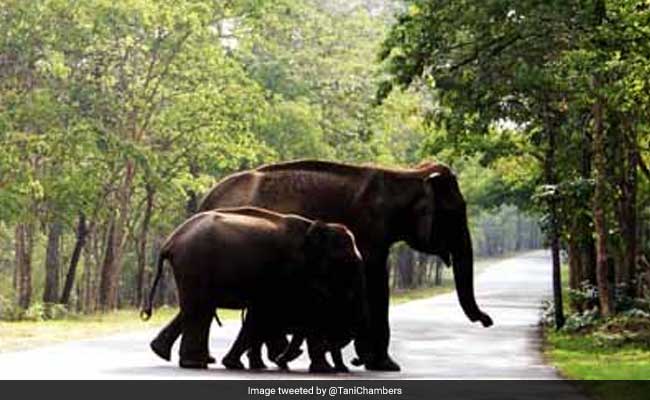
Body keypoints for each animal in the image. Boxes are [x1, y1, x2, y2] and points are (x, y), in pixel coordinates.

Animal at [141, 206, 370, 370]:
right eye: (351, 263)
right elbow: (278, 312)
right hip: (195, 263)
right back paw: (195, 364)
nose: (353, 363)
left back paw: (168, 353)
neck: (315, 226)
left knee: (199, 308)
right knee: (199, 309)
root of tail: (171, 240)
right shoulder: (290, 272)